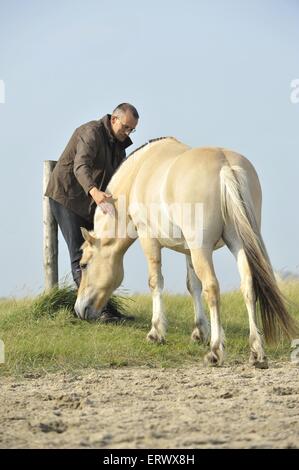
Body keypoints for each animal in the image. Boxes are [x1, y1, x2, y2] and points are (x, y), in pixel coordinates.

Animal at [74, 136, 298, 368]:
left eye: (84, 264)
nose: (79, 310)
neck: (140, 174)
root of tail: (225, 165)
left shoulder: (150, 240)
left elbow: (156, 281)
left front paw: (156, 333)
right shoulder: (188, 251)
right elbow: (193, 285)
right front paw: (199, 332)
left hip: (204, 250)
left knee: (212, 289)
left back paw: (215, 351)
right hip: (239, 245)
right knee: (248, 286)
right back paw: (257, 352)